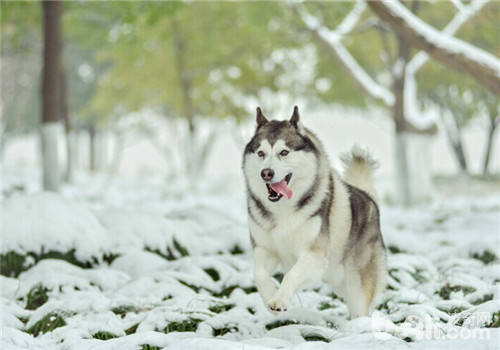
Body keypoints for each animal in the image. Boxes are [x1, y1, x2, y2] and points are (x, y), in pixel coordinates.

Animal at [242, 105, 386, 318]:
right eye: (261, 153)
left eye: (284, 152)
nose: (266, 173)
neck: (283, 210)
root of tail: (369, 198)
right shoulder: (264, 249)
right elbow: (258, 274)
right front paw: (270, 297)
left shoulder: (314, 255)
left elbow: (292, 274)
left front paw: (279, 300)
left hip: (357, 286)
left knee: (360, 309)